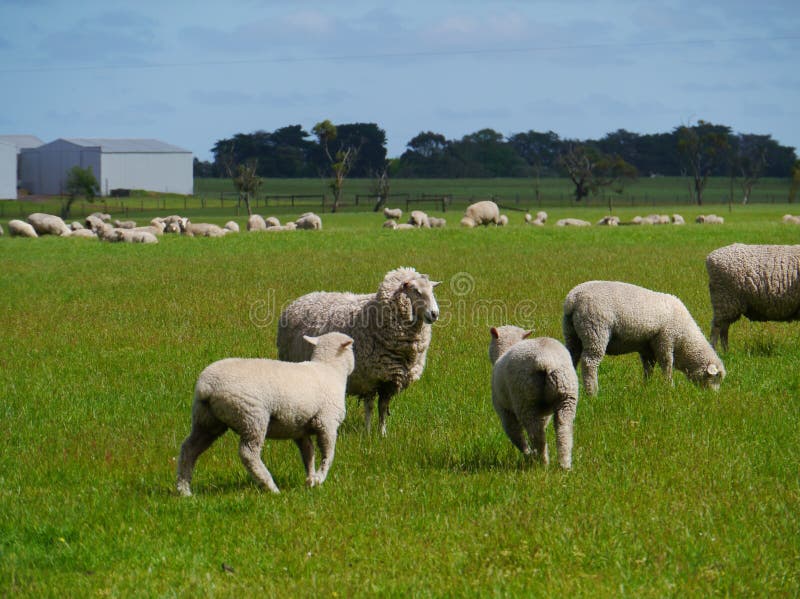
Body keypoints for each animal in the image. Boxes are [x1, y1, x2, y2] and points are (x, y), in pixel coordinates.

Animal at [177, 332, 354, 496]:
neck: (330, 370)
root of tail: (207, 387)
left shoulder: (299, 428)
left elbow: (308, 453)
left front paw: (310, 480)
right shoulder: (326, 421)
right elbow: (328, 454)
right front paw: (319, 478)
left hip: (206, 420)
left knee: (189, 448)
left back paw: (184, 490)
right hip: (252, 416)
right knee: (248, 454)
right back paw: (270, 486)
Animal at [278, 268, 440, 436]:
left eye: (432, 290)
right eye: (416, 291)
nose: (435, 314)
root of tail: (301, 298)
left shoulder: (389, 380)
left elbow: (383, 408)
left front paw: (382, 434)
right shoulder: (368, 378)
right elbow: (369, 407)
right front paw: (367, 433)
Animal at [490, 326, 580, 472]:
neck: (506, 347)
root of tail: (544, 359)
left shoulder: (503, 409)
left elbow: (514, 433)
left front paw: (527, 453)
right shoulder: (544, 414)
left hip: (525, 399)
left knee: (536, 433)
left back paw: (541, 462)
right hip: (566, 394)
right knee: (563, 428)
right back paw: (564, 464)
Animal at [564, 280, 724, 396]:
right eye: (716, 377)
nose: (714, 396)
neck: (684, 340)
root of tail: (573, 299)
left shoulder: (647, 348)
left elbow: (648, 368)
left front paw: (647, 386)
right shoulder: (665, 339)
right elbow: (667, 364)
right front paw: (669, 386)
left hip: (572, 334)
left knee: (571, 357)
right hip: (595, 330)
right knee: (589, 363)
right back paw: (592, 393)